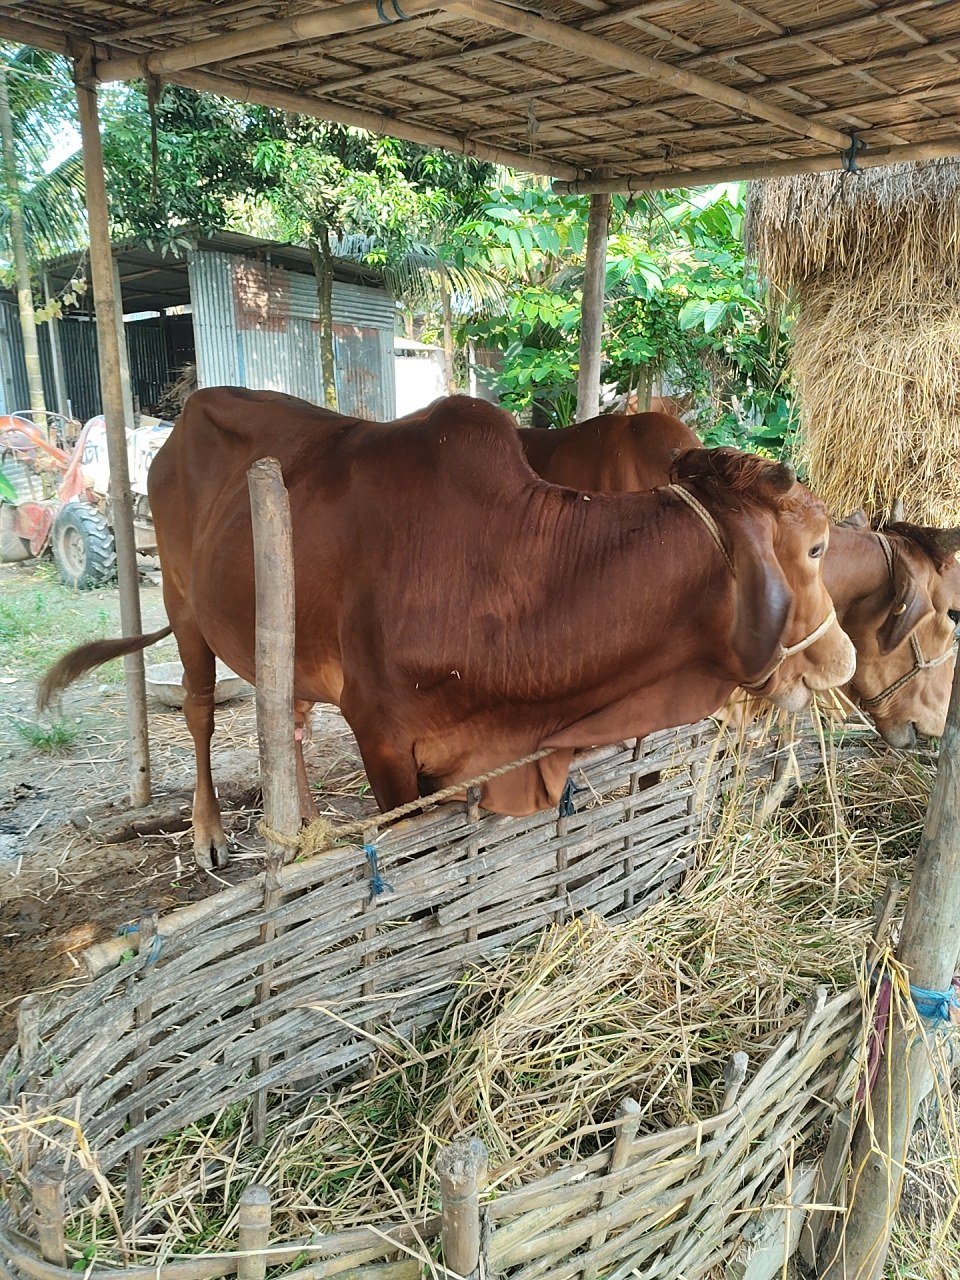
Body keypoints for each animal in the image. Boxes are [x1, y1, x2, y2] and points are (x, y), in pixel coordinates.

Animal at [39, 391, 854, 870]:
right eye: (817, 547)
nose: (842, 658)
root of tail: (181, 419)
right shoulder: (385, 743)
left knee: (288, 720)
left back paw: (303, 829)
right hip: (184, 607)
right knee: (202, 714)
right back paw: (210, 834)